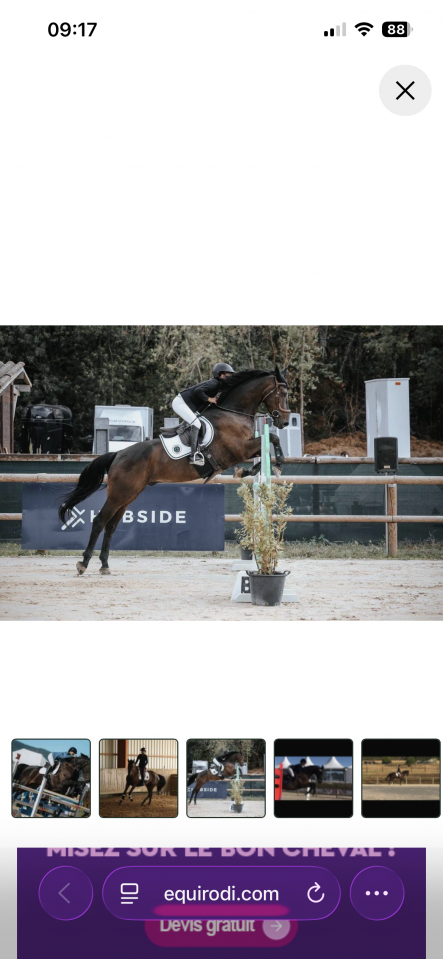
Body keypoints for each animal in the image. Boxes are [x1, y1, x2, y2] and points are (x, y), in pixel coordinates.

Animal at [59, 367, 290, 575]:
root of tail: (118, 454)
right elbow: (272, 439)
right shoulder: (239, 449)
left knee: (111, 526)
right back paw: (83, 564)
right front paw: (277, 465)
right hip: (119, 494)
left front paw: (249, 471)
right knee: (100, 521)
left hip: (128, 495)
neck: (233, 413)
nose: (285, 421)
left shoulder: (245, 450)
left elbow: (265, 450)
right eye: (283, 393)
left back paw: (105, 565)